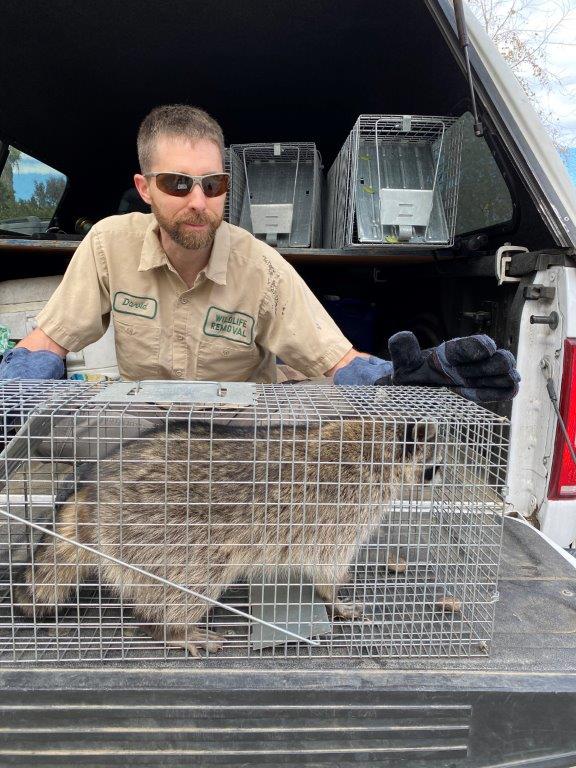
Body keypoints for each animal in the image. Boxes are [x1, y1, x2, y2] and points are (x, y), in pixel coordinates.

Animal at [14, 417, 438, 655]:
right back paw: (170, 627)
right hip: (164, 531)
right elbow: (326, 565)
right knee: (191, 582)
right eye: (434, 465)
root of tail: (94, 490)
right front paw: (333, 598)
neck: (372, 446)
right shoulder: (343, 509)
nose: (438, 480)